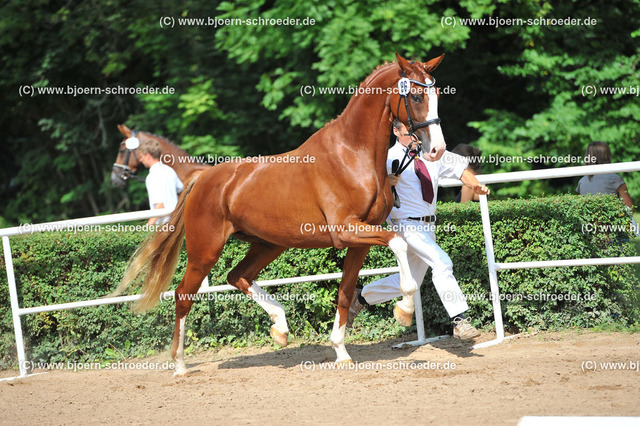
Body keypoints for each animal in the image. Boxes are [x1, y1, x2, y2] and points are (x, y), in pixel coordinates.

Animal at [112, 51, 444, 374]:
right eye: (416, 96)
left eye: (438, 92)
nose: (436, 150)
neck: (351, 155)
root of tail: (201, 179)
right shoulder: (346, 231)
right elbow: (398, 245)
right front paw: (404, 310)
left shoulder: (359, 241)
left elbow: (346, 291)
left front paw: (340, 352)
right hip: (204, 251)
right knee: (184, 294)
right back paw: (180, 364)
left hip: (269, 244)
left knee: (237, 276)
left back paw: (280, 328)